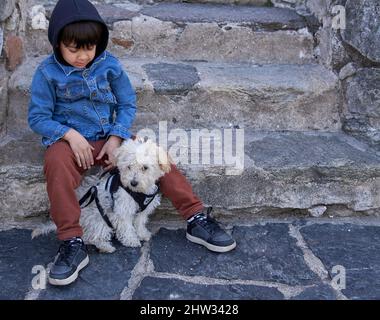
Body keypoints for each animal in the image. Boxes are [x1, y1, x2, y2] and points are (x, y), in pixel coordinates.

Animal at [32, 139, 172, 254]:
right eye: (129, 166)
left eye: (145, 167)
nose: (133, 182)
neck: (138, 192)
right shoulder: (122, 210)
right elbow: (127, 227)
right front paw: (131, 240)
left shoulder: (143, 210)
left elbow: (139, 222)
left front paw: (142, 234)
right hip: (100, 220)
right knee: (90, 237)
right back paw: (105, 247)